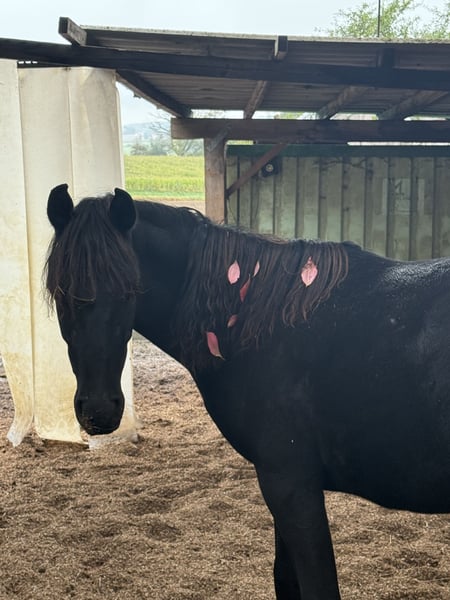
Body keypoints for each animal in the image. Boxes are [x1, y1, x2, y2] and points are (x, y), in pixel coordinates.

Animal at [45, 184, 450, 600]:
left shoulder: (289, 485)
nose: (98, 411)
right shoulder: (287, 487)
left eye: (129, 293)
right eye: (60, 293)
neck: (266, 325)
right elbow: (284, 579)